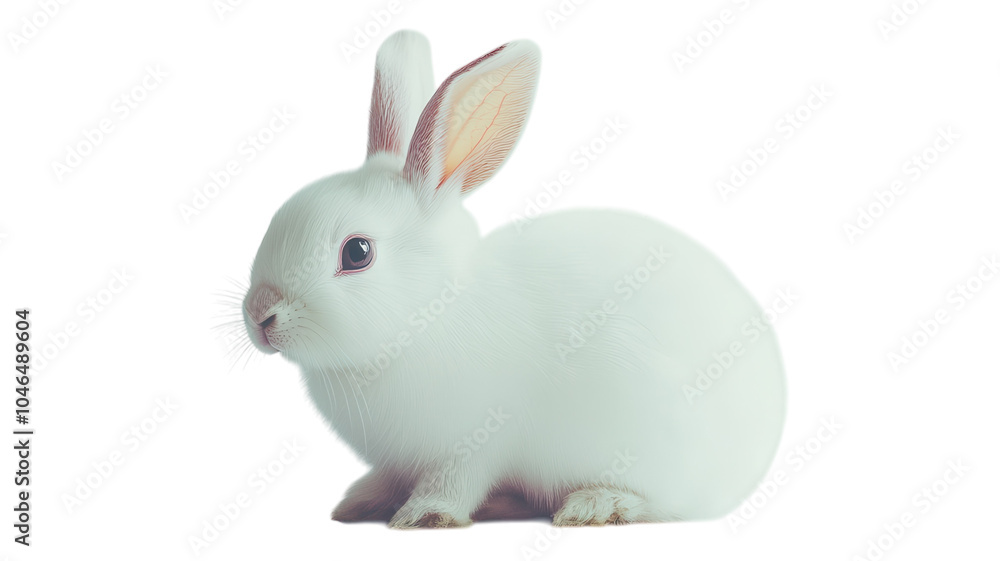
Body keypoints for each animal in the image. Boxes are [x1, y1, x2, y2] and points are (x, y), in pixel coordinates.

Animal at [241, 29, 786, 528]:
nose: (260, 316)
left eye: (357, 253)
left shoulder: (476, 443)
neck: (430, 312)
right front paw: (358, 503)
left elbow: (455, 482)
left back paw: (597, 504)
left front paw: (423, 515)